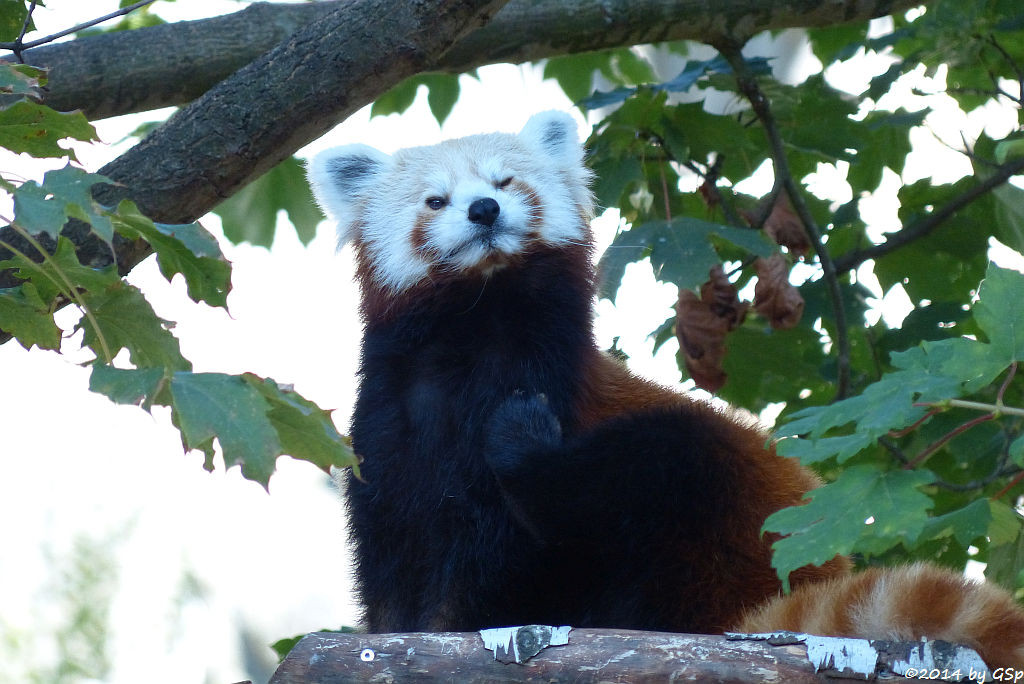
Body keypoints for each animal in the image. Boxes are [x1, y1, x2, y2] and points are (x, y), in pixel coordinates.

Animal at [307, 112, 1024, 667]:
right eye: (435, 201)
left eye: (505, 182)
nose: (484, 209)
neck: (474, 334)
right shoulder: (387, 434)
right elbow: (391, 558)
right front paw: (398, 634)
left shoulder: (545, 383)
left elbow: (496, 558)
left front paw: (456, 624)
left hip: (729, 504)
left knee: (647, 462)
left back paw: (527, 456)